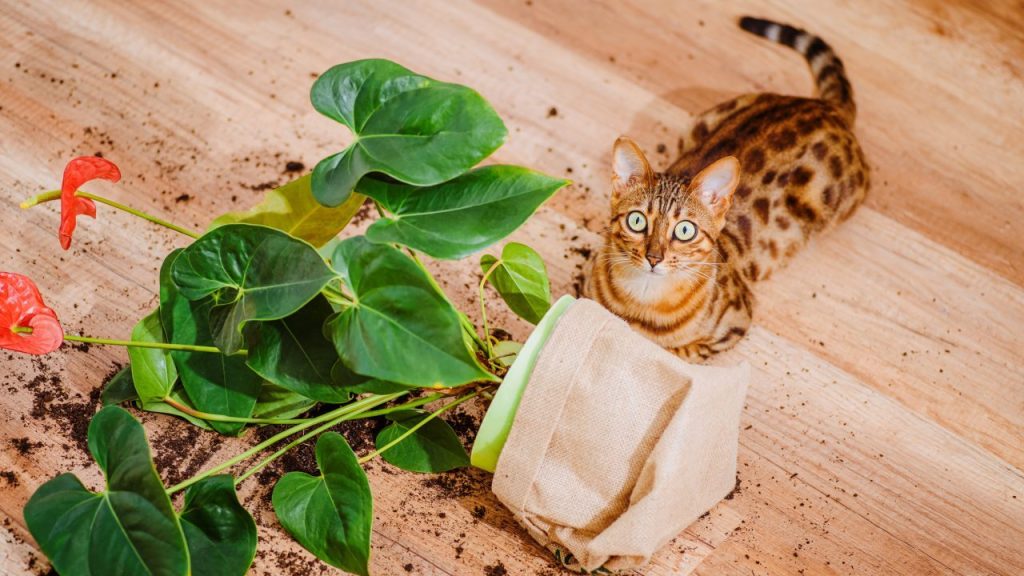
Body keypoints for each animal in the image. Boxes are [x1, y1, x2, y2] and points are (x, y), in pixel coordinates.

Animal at [589, 16, 868, 358]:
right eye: (637, 221)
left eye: (685, 230)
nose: (654, 258)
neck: (643, 301)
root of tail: (825, 106)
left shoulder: (736, 322)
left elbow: (682, 350)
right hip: (703, 120)